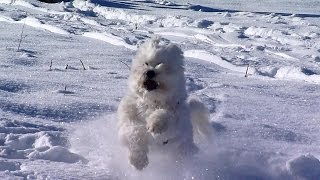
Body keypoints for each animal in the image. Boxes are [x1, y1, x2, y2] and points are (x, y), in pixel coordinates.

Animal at [116, 37, 211, 170]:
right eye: (146, 63)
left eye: (161, 64)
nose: (150, 72)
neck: (152, 100)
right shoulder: (128, 118)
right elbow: (135, 133)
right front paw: (138, 161)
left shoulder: (175, 120)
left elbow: (165, 114)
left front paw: (155, 124)